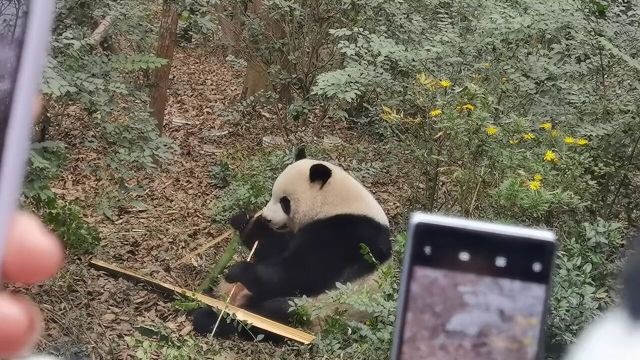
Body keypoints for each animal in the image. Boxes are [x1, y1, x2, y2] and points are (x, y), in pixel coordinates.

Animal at [191, 146, 390, 340]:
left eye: (285, 202)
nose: (267, 218)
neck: (336, 202)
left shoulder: (345, 234)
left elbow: (301, 272)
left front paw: (238, 270)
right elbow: (274, 248)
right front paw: (244, 221)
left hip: (317, 308)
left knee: (266, 317)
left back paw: (209, 319)